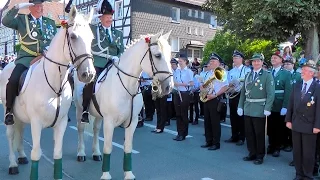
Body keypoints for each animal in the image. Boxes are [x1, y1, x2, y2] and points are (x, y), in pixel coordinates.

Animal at [0, 7, 95, 180]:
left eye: (91, 38)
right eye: (73, 36)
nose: (89, 74)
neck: (54, 82)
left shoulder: (61, 123)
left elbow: (57, 154)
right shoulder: (36, 123)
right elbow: (36, 153)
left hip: (21, 116)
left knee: (20, 131)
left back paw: (21, 156)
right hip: (8, 111)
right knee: (11, 134)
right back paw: (13, 164)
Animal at [73, 30, 174, 179]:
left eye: (170, 55)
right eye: (158, 55)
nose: (169, 87)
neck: (127, 86)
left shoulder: (132, 122)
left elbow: (128, 147)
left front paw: (128, 174)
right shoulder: (109, 122)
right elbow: (108, 147)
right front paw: (106, 175)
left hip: (98, 115)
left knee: (96, 130)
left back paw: (96, 153)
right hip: (80, 109)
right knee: (80, 129)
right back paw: (81, 153)